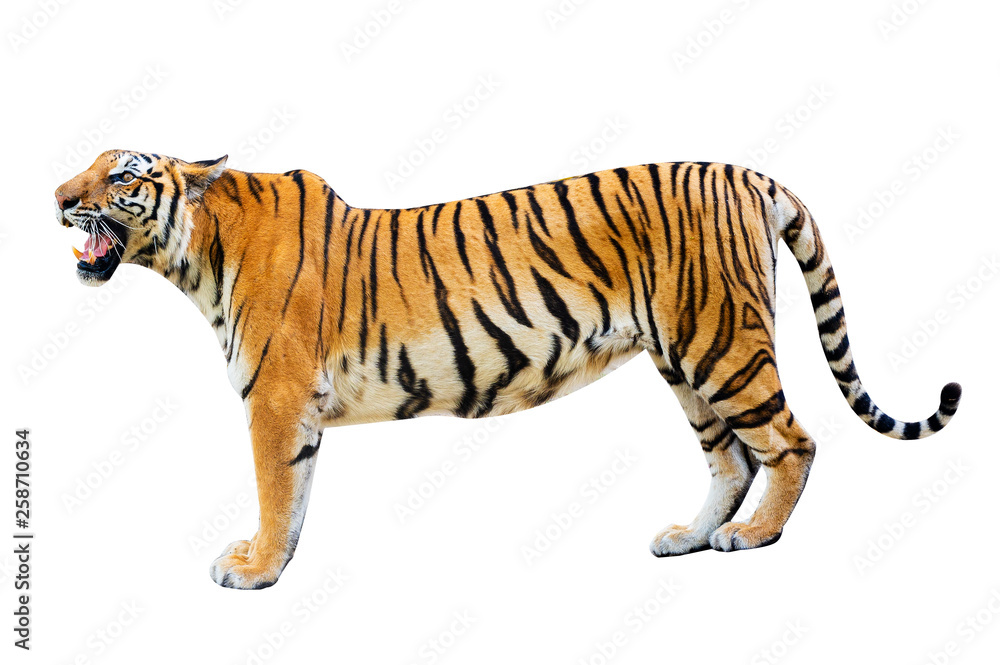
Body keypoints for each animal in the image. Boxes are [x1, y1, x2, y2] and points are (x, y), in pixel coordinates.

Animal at [54, 149, 961, 589]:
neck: (197, 252)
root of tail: (746, 172)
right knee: (731, 457)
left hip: (722, 345)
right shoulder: (293, 410)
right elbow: (295, 495)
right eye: (91, 165)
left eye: (121, 173)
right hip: (683, 358)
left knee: (793, 441)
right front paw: (266, 560)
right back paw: (689, 536)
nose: (59, 197)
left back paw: (753, 535)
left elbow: (277, 491)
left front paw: (254, 571)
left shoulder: (274, 400)